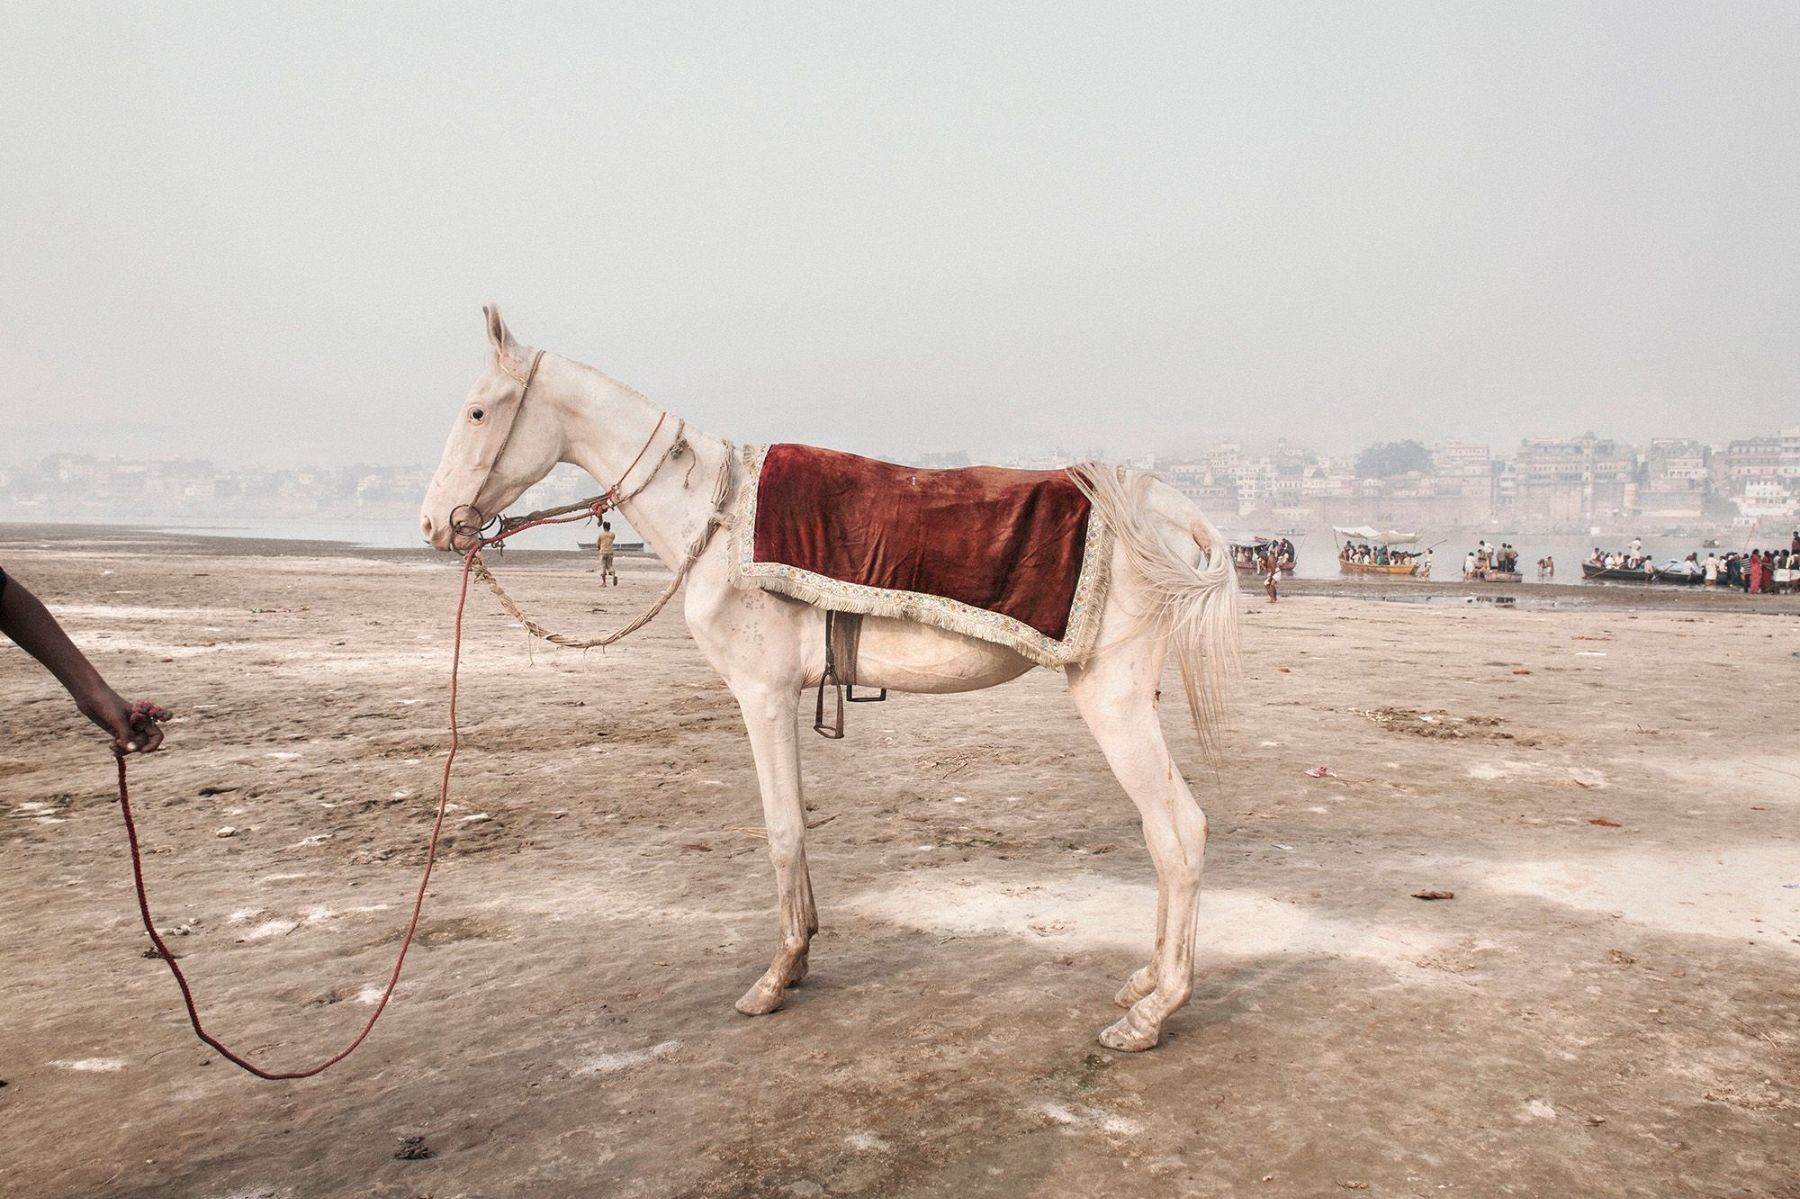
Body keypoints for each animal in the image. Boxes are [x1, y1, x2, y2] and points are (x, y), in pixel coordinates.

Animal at [419, 305, 1240, 1051]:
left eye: (478, 410)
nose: (432, 523)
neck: (712, 514)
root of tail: (1170, 507)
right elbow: (797, 823)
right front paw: (805, 951)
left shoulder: (763, 695)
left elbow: (782, 827)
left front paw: (777, 973)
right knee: (1169, 829)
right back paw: (1145, 979)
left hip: (1111, 696)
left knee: (1178, 831)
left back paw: (1154, 1009)